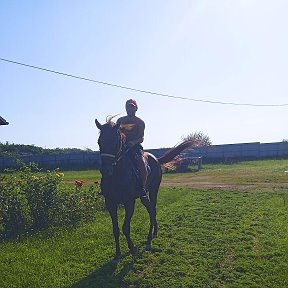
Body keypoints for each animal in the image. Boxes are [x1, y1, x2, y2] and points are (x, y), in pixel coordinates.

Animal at [95, 118, 194, 262]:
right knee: (151, 210)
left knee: (152, 209)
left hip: (153, 190)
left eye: (115, 142)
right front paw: (118, 254)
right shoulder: (110, 203)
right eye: (99, 142)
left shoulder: (129, 202)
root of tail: (156, 159)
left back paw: (149, 239)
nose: (106, 170)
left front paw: (132, 248)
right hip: (144, 196)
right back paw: (154, 232)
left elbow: (125, 228)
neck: (118, 175)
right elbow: (115, 229)